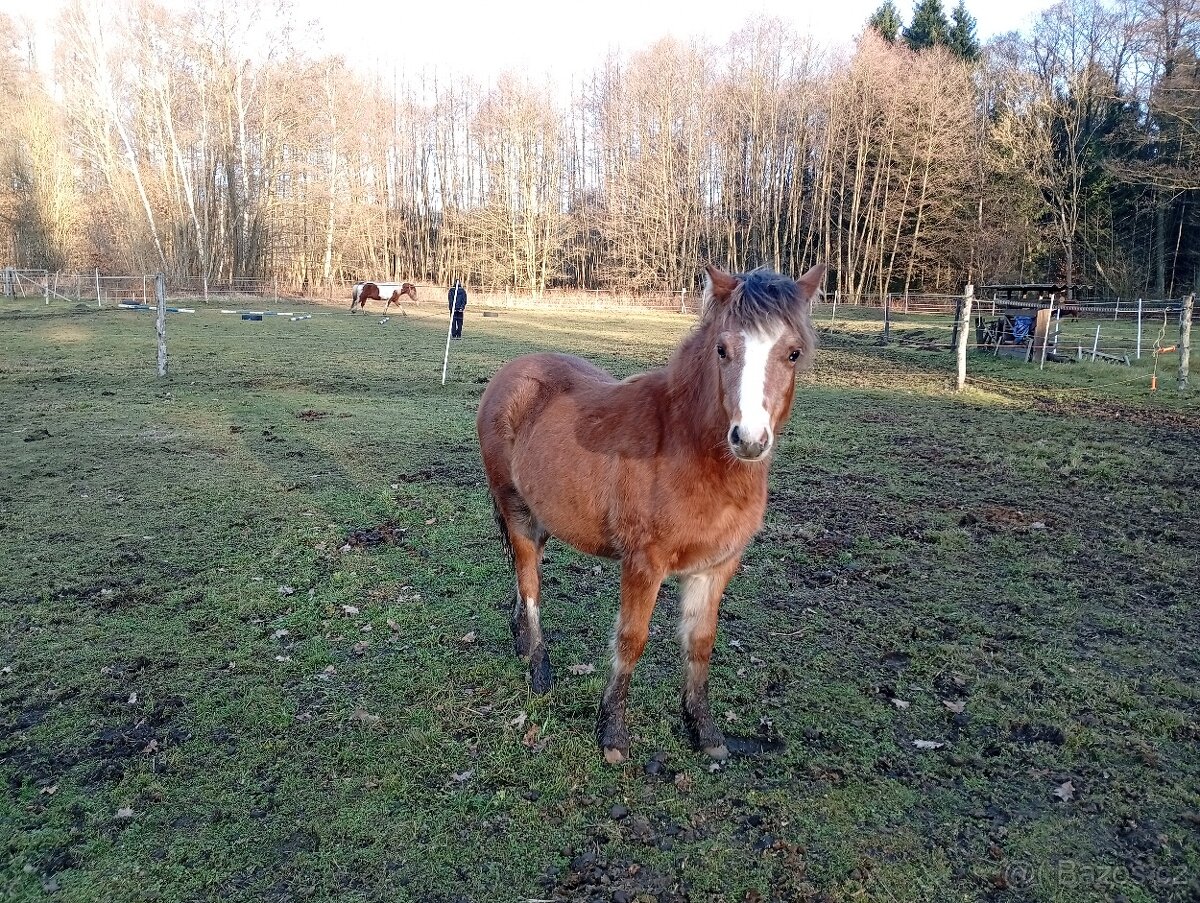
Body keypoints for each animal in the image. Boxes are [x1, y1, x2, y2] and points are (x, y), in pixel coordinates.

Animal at [477, 263, 824, 763]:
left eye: (793, 353)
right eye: (723, 349)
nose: (749, 439)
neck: (693, 452)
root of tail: (510, 373)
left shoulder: (716, 567)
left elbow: (700, 644)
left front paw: (705, 733)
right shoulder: (644, 563)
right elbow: (631, 640)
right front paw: (612, 734)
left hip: (539, 519)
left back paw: (522, 645)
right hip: (516, 511)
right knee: (530, 585)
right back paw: (540, 670)